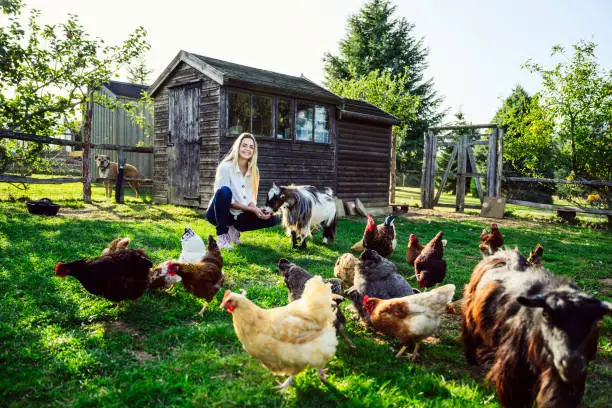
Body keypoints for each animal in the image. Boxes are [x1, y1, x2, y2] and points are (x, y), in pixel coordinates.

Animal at [462, 249, 608, 408]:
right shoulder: (514, 370)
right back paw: (472, 359)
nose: (572, 366)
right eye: (547, 315)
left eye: (593, 322)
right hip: (470, 315)